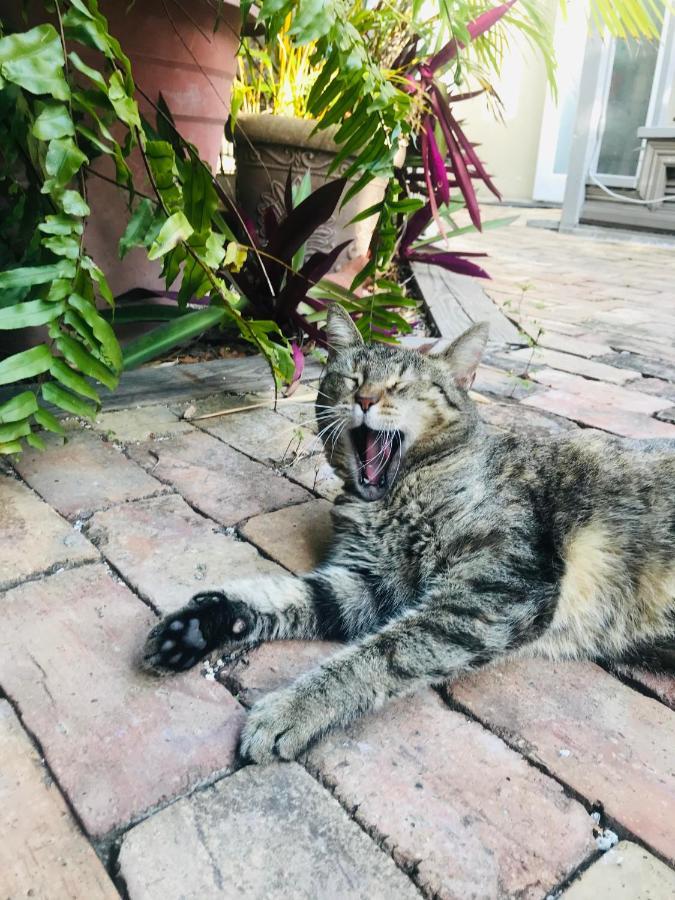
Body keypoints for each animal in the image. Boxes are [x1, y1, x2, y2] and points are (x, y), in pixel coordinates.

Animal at [143, 302, 675, 760]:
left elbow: (382, 654)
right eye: (352, 377)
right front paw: (203, 623)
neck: (392, 500)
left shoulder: (496, 588)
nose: (364, 399)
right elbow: (291, 596)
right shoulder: (371, 585)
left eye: (399, 386)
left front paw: (292, 708)